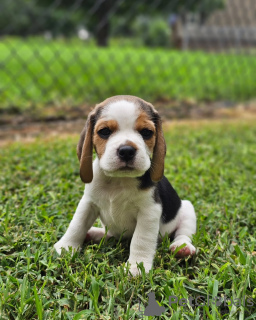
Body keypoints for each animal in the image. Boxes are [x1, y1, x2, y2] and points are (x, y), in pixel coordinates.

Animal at [55, 95, 197, 276]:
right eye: (104, 131)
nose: (127, 150)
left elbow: (141, 239)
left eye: (146, 132)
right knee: (110, 234)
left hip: (187, 209)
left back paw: (182, 248)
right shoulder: (88, 203)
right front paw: (65, 247)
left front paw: (137, 266)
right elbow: (77, 225)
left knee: (183, 233)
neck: (119, 180)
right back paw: (94, 233)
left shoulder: (149, 211)